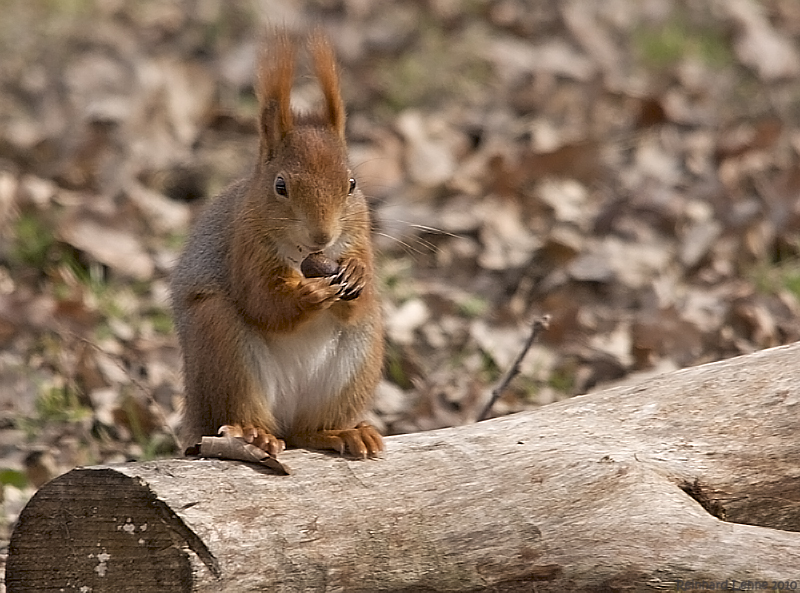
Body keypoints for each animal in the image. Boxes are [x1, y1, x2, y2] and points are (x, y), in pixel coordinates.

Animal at [169, 30, 384, 458]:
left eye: (352, 184)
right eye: (280, 186)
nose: (322, 236)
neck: (307, 257)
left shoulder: (359, 238)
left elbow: (359, 294)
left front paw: (356, 272)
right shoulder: (245, 246)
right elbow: (262, 302)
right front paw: (309, 293)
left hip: (360, 355)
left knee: (306, 432)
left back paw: (340, 433)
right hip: (220, 342)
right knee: (248, 415)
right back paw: (256, 435)